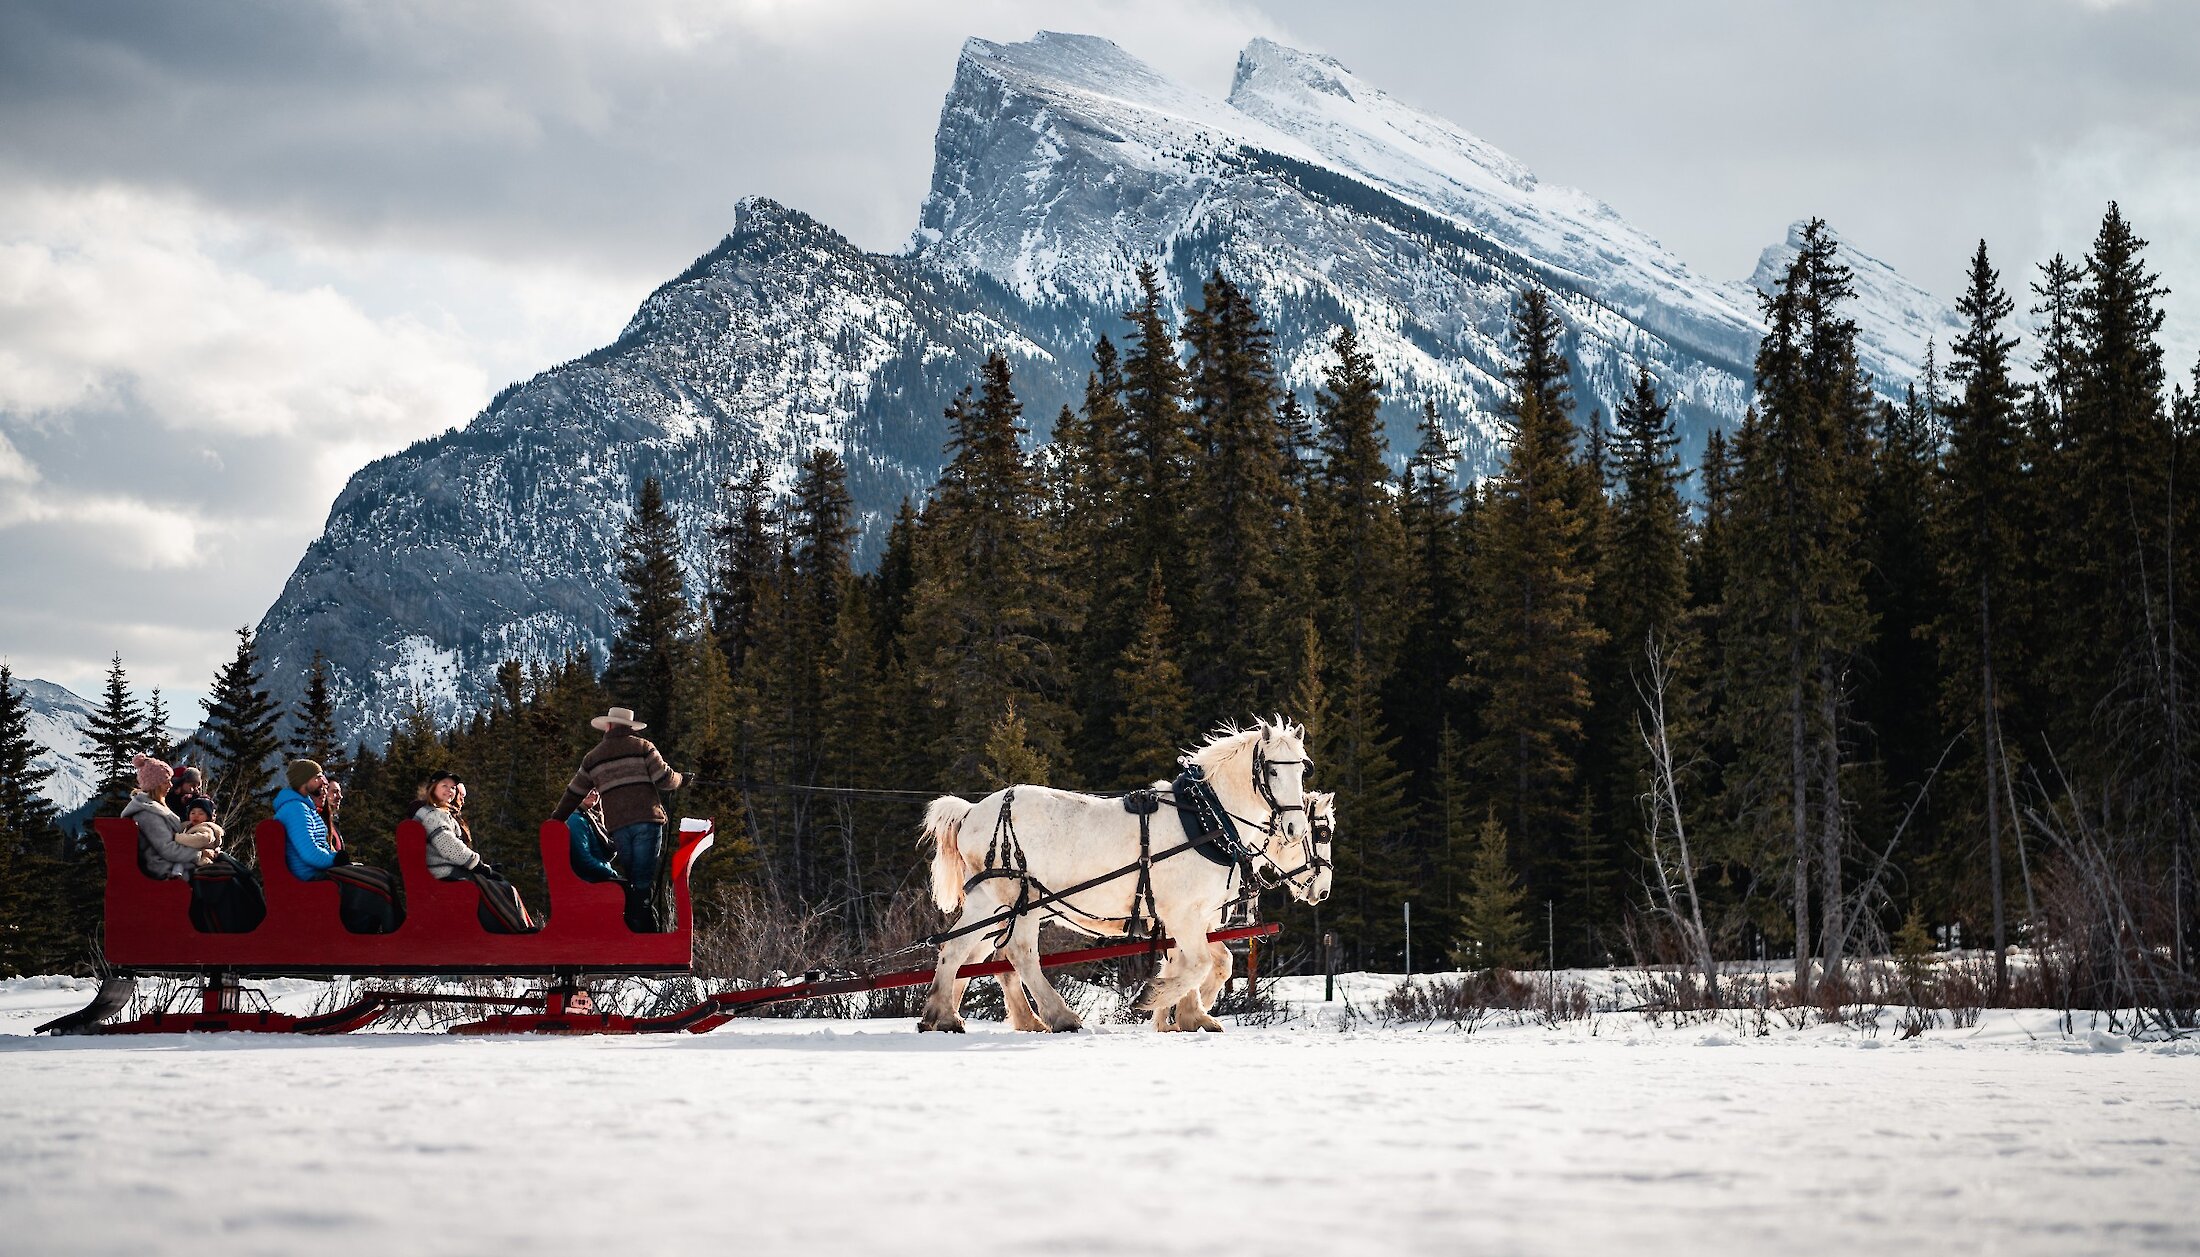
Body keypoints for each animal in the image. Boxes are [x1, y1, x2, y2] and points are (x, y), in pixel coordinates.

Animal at [910, 722, 1320, 1039]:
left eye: (1302, 770)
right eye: (1272, 770)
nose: (1294, 828)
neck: (1205, 819)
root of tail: (971, 812)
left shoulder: (1196, 916)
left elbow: (1206, 961)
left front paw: (1190, 1014)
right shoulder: (1182, 913)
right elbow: (1199, 963)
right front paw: (1152, 998)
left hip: (1007, 904)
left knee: (982, 953)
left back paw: (963, 1014)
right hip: (1010, 897)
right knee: (990, 950)